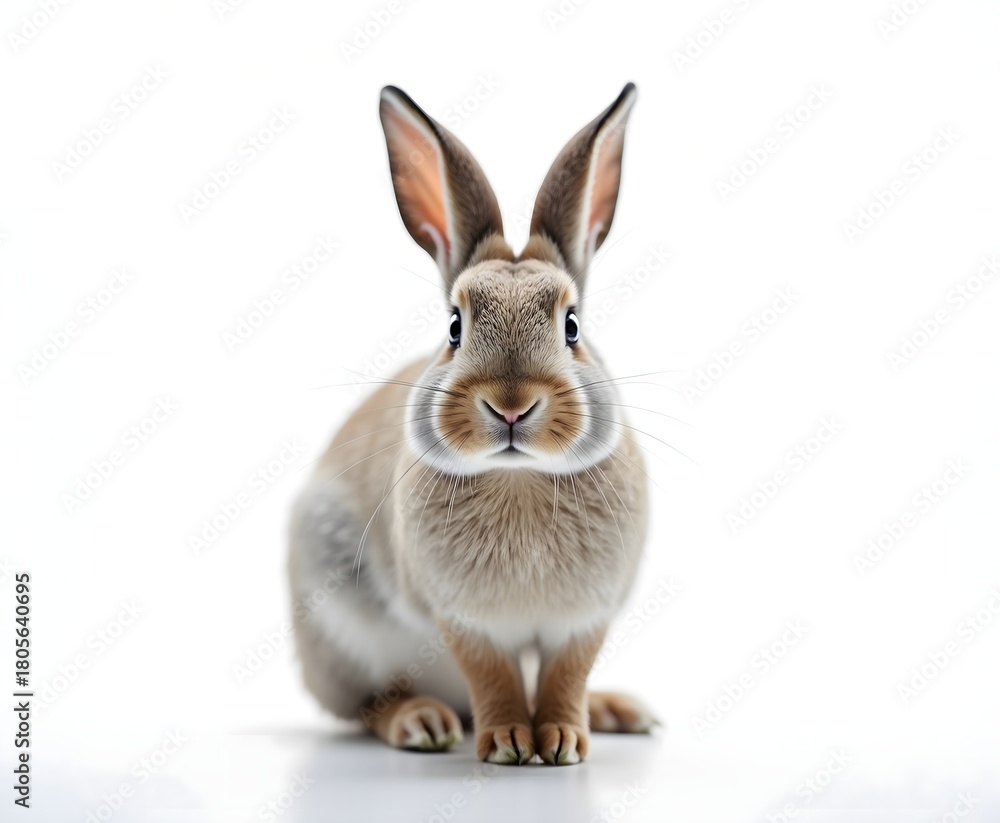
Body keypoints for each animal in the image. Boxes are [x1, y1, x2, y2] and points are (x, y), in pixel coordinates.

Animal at [288, 82, 655, 765]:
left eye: (572, 327)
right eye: (454, 327)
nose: (511, 406)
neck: (520, 480)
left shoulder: (585, 620)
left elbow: (566, 675)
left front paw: (564, 740)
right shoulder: (462, 620)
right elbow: (494, 677)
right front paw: (509, 741)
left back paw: (614, 710)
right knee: (369, 705)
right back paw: (422, 723)